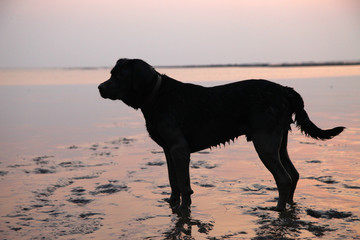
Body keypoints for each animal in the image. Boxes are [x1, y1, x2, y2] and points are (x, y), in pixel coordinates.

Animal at [97, 58, 344, 212]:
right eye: (111, 73)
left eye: (120, 75)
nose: (100, 87)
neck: (157, 97)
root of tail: (286, 90)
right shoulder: (168, 150)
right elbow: (173, 181)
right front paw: (172, 204)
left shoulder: (179, 149)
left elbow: (184, 184)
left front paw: (184, 209)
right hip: (279, 141)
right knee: (294, 174)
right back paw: (290, 206)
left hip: (264, 142)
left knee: (283, 178)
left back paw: (278, 209)